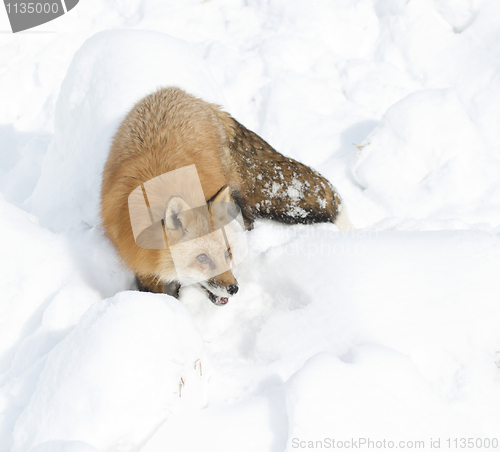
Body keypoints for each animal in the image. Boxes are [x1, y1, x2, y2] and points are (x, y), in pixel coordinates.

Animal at [100, 86, 352, 306]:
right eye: (202, 258)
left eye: (227, 253)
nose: (234, 288)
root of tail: (182, 93)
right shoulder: (140, 263)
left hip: (232, 191)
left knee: (249, 219)